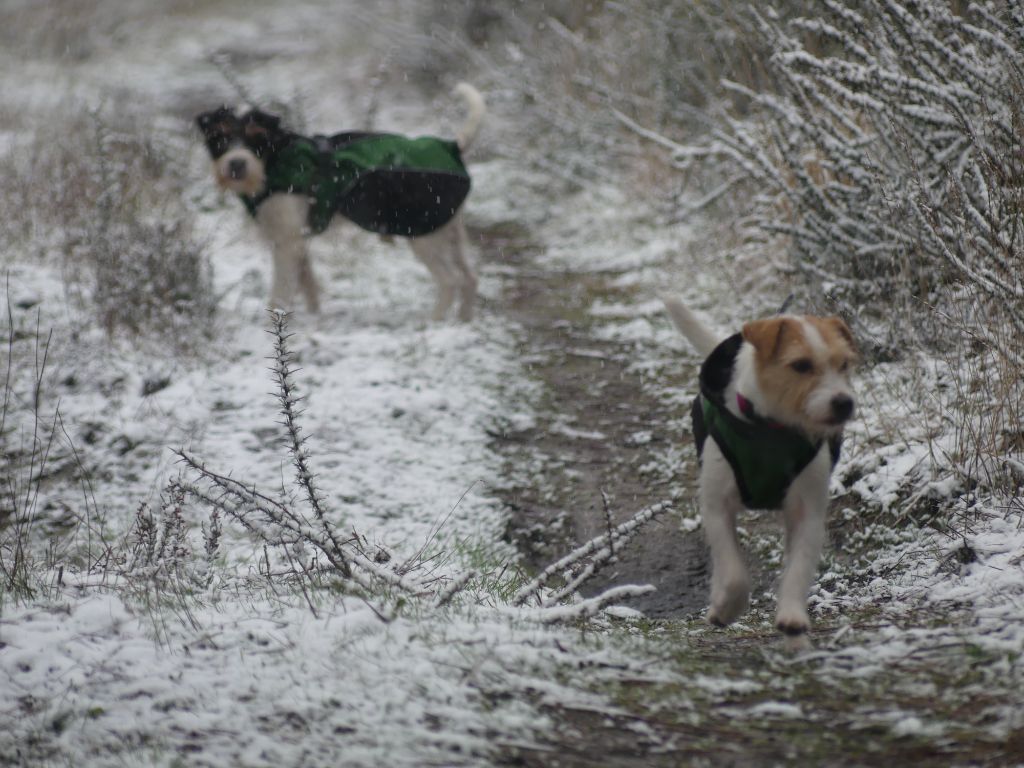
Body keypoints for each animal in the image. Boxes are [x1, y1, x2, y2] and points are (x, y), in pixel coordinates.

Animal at [198, 84, 487, 321]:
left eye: (257, 137)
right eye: (219, 137)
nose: (236, 164)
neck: (274, 160)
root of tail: (454, 146)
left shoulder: (286, 243)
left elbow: (280, 292)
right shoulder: (296, 241)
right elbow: (308, 285)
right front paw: (312, 319)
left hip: (424, 235)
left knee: (451, 281)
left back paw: (433, 323)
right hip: (449, 232)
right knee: (470, 278)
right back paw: (464, 321)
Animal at [663, 296, 856, 647]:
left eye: (844, 364)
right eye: (801, 365)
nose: (844, 402)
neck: (773, 428)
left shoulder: (808, 511)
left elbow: (798, 568)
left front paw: (792, 617)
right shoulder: (716, 506)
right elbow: (733, 571)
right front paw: (726, 608)